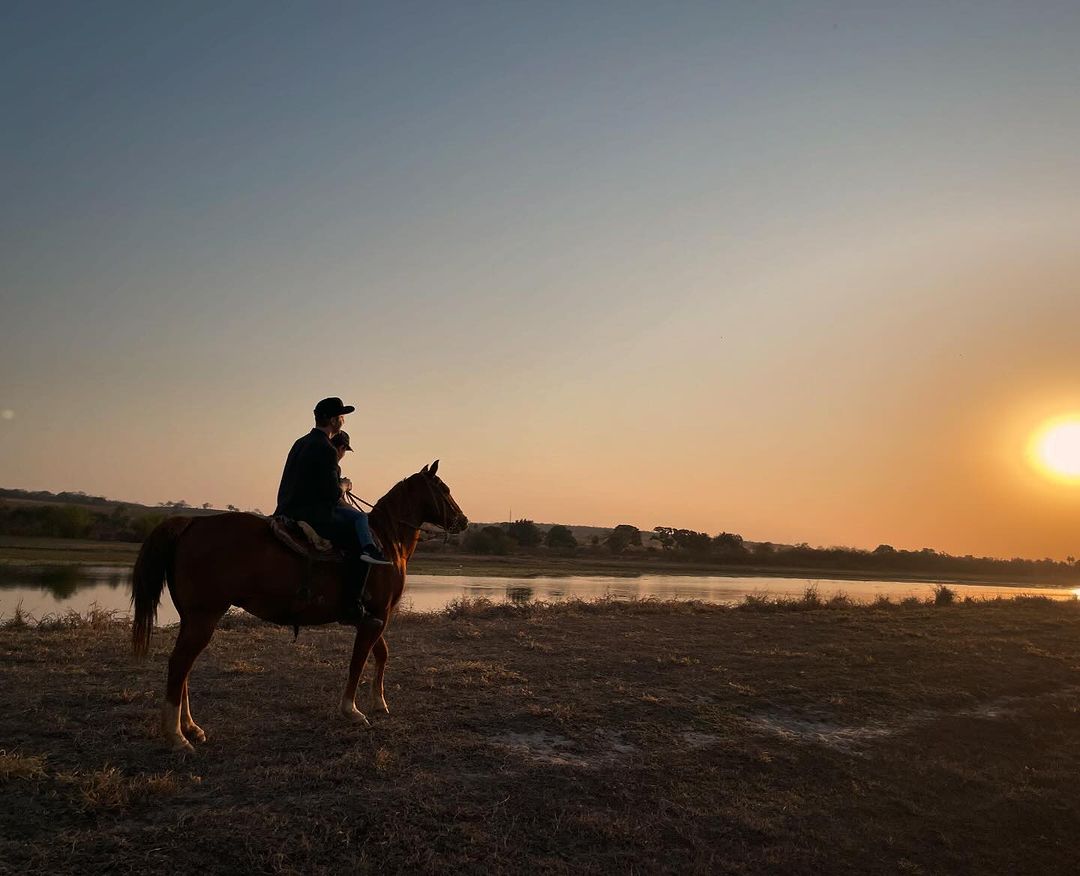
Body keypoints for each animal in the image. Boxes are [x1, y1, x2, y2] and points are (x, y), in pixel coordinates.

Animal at [129, 460, 464, 751]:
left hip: (193, 619)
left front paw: (379, 703)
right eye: (444, 489)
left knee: (184, 668)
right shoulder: (377, 616)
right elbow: (358, 662)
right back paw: (176, 736)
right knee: (179, 665)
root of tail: (191, 523)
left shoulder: (372, 617)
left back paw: (190, 728)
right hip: (203, 618)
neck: (387, 541)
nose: (463, 520)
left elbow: (381, 655)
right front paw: (352, 710)